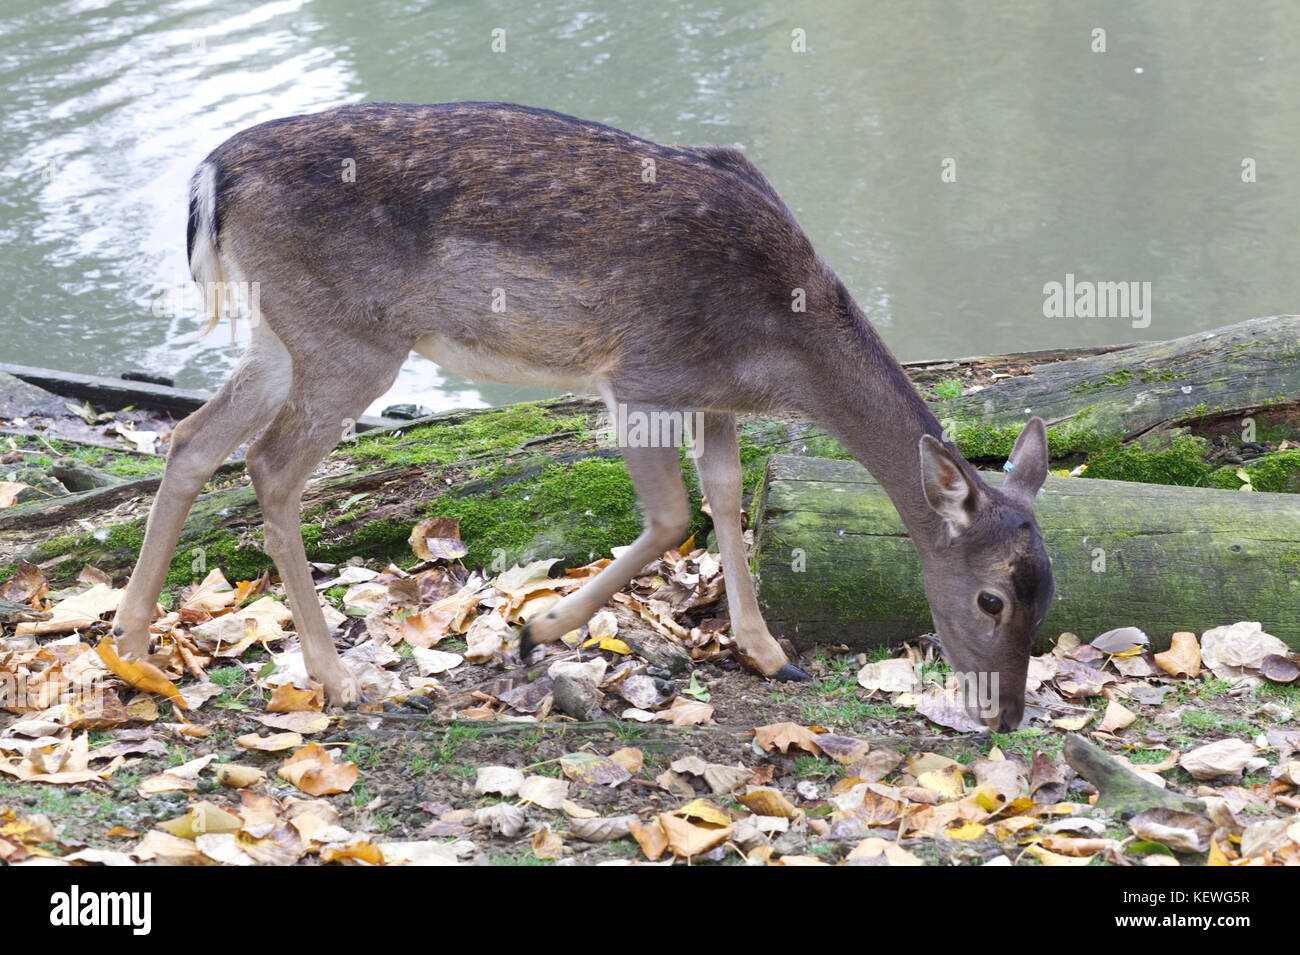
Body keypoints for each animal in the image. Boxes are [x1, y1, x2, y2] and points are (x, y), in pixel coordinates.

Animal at [106, 100, 1050, 732]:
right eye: (994, 597)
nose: (1005, 716)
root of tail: (212, 178)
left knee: (190, 438)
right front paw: (537, 629)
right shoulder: (640, 375)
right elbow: (670, 516)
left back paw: (133, 646)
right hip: (350, 338)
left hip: (281, 334)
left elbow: (727, 496)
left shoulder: (710, 397)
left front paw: (768, 652)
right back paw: (338, 682)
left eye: (1052, 586)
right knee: (269, 465)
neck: (780, 345)